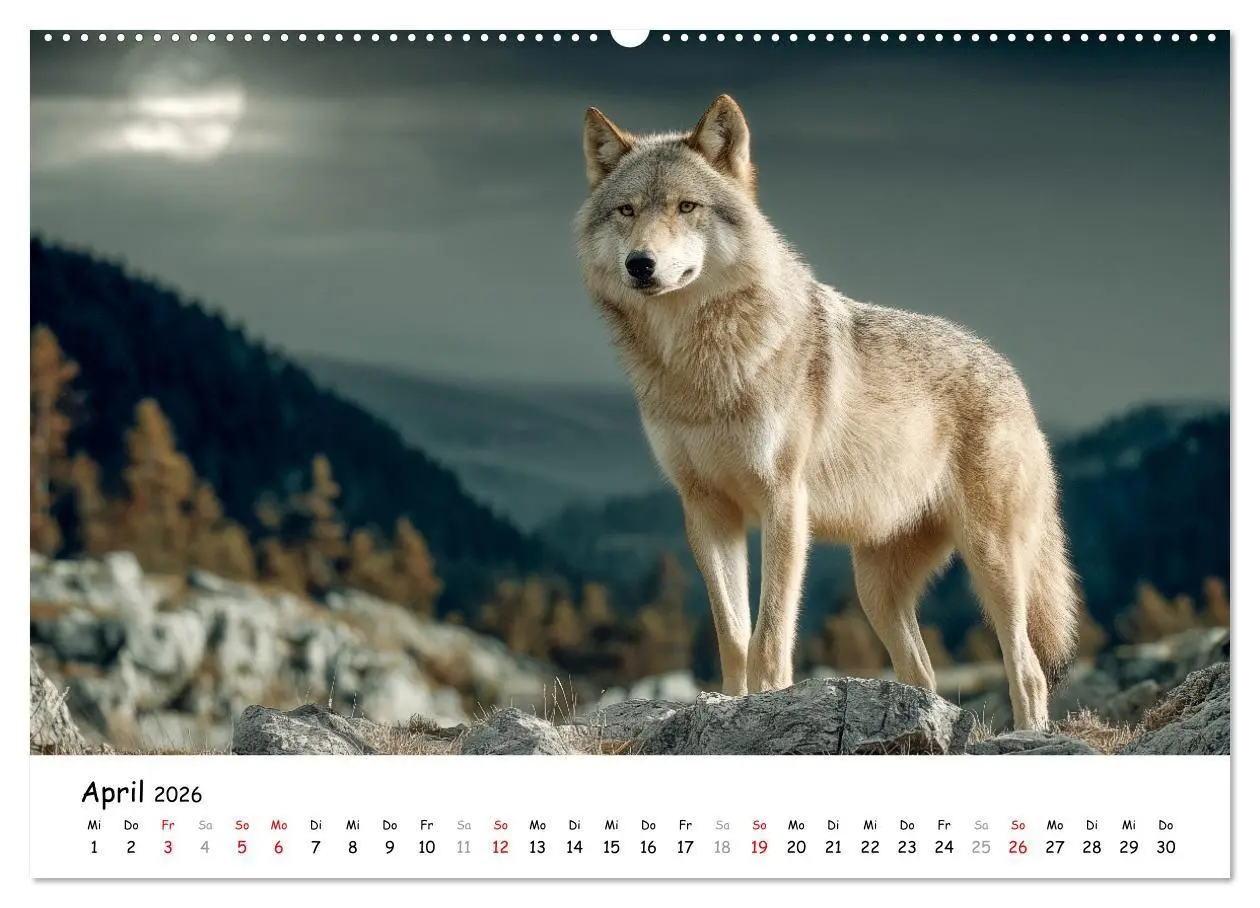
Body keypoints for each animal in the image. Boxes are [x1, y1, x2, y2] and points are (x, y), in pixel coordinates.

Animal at [574, 95, 1080, 730]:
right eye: (626, 210)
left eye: (686, 207)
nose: (640, 264)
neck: (700, 370)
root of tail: (1013, 377)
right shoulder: (706, 510)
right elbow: (732, 633)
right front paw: (729, 704)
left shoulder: (784, 503)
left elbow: (769, 635)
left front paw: (767, 702)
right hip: (875, 589)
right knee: (924, 675)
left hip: (994, 566)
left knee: (1030, 669)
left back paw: (1027, 733)